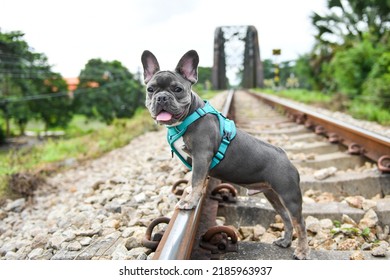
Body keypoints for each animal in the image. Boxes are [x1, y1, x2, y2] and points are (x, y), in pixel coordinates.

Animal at [142, 49, 310, 260]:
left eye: (177, 89)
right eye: (151, 89)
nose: (162, 97)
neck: (186, 118)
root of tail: (285, 156)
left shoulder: (201, 156)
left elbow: (197, 180)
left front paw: (189, 201)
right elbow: (194, 181)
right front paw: (187, 193)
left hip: (289, 196)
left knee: (300, 223)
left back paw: (302, 251)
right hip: (273, 195)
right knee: (286, 218)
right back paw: (286, 241)